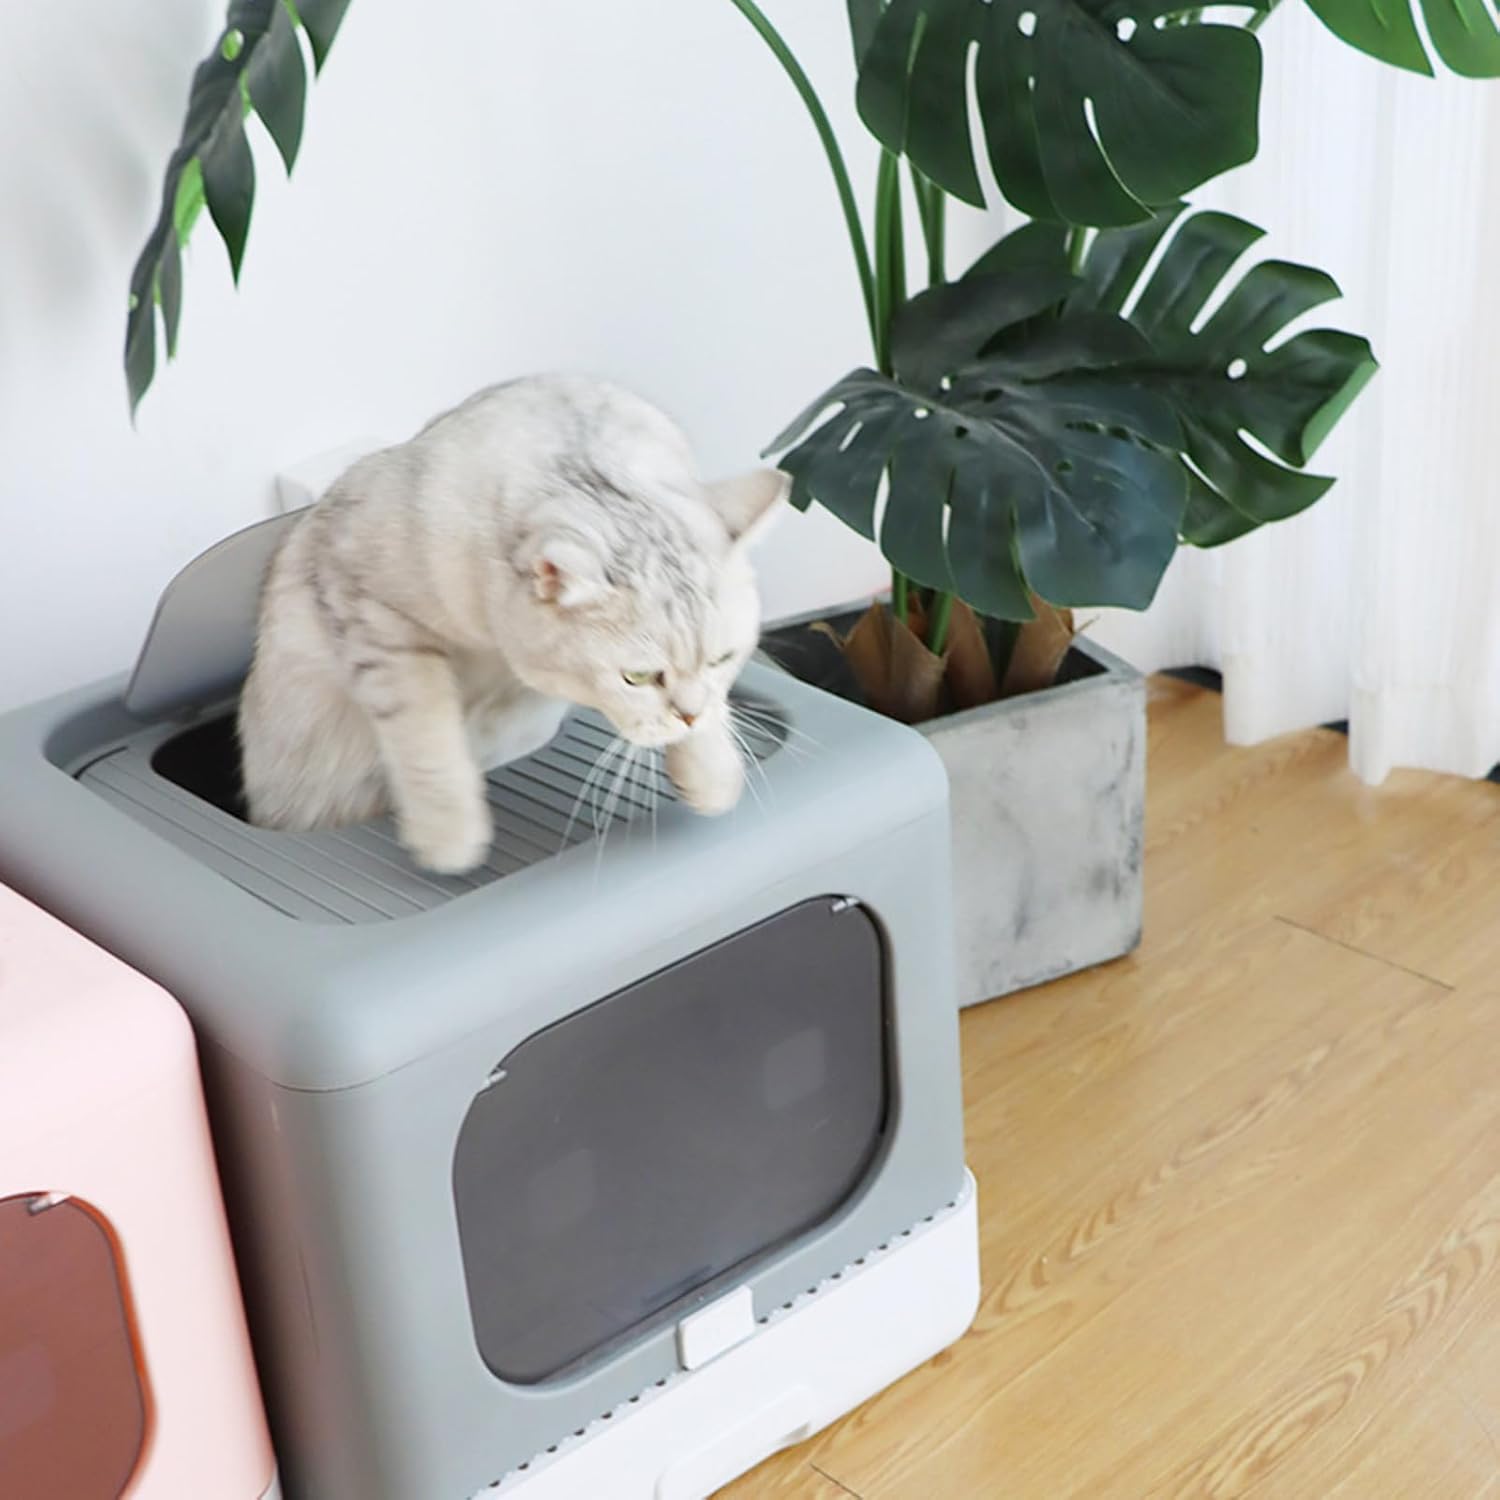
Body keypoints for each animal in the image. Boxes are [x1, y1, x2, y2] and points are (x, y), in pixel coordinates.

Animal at [237, 374, 786, 874]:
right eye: (637, 677)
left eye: (723, 658)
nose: (688, 716)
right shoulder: (371, 610)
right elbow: (425, 732)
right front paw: (449, 834)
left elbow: (715, 713)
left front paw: (713, 773)